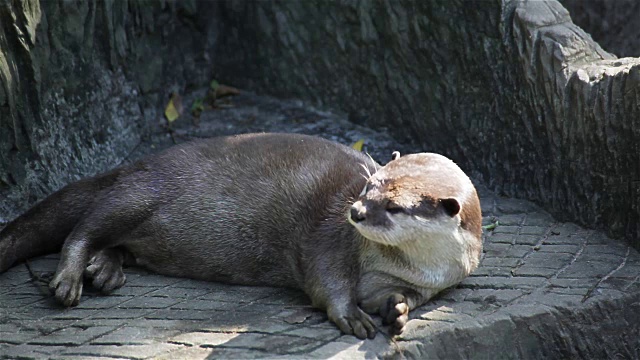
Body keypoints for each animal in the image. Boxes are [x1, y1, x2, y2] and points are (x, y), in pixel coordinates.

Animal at [0, 132, 480, 338]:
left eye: (394, 206)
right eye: (368, 187)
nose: (357, 212)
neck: (402, 265)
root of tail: (136, 164)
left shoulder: (428, 285)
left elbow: (400, 298)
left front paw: (396, 312)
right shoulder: (330, 238)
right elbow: (325, 278)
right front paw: (351, 316)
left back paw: (105, 270)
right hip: (137, 194)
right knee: (85, 227)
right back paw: (69, 279)